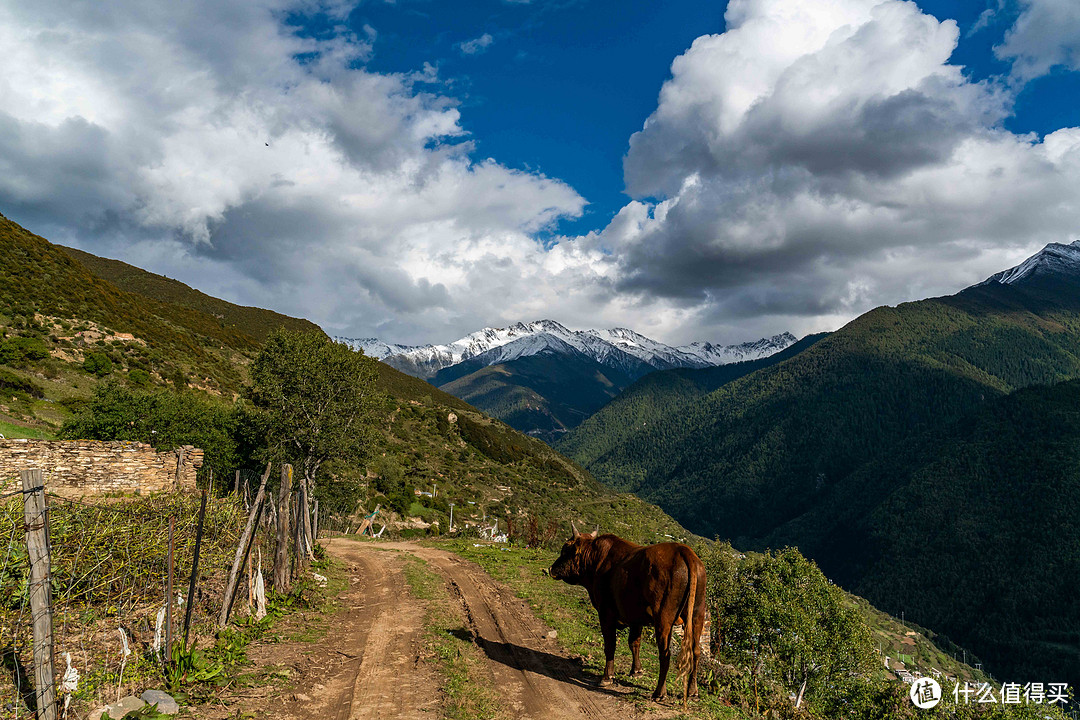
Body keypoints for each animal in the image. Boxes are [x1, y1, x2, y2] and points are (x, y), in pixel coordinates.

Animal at [548, 524, 708, 703]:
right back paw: (693, 691)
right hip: (697, 615)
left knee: (665, 654)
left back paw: (659, 693)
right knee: (695, 651)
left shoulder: (606, 613)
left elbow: (610, 645)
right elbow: (634, 643)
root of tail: (684, 551)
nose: (551, 568)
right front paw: (636, 671)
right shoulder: (635, 617)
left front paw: (607, 677)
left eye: (565, 549)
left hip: (663, 618)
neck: (595, 561)